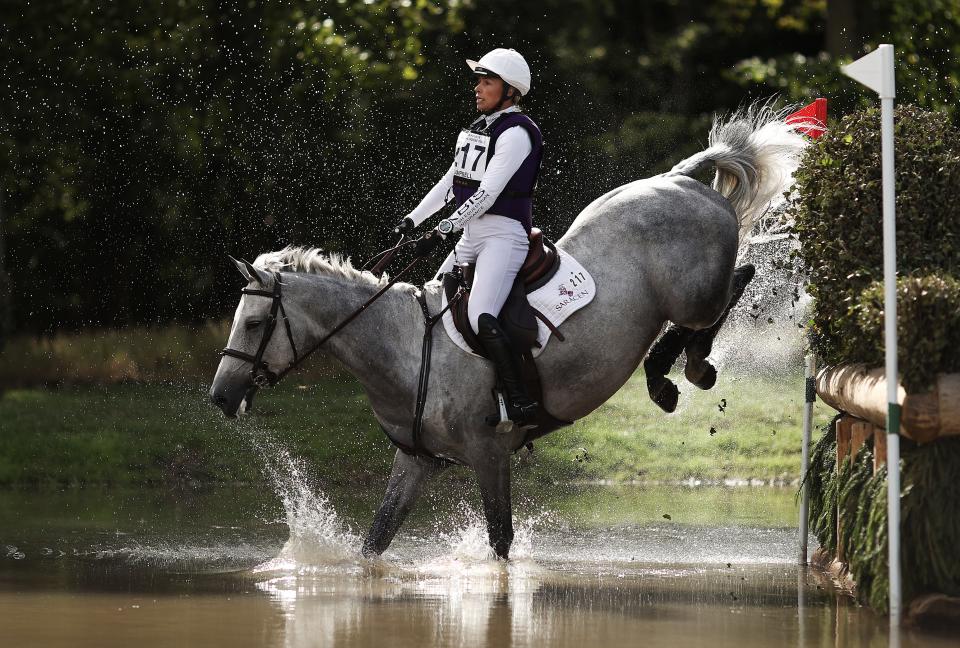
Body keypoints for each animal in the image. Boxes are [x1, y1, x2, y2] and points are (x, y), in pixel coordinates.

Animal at [210, 104, 808, 560]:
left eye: (256, 323)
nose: (219, 397)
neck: (404, 351)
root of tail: (682, 180)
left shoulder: (490, 454)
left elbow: (500, 542)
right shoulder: (415, 462)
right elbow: (374, 542)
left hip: (696, 292)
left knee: (735, 283)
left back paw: (682, 369)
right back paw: (671, 373)